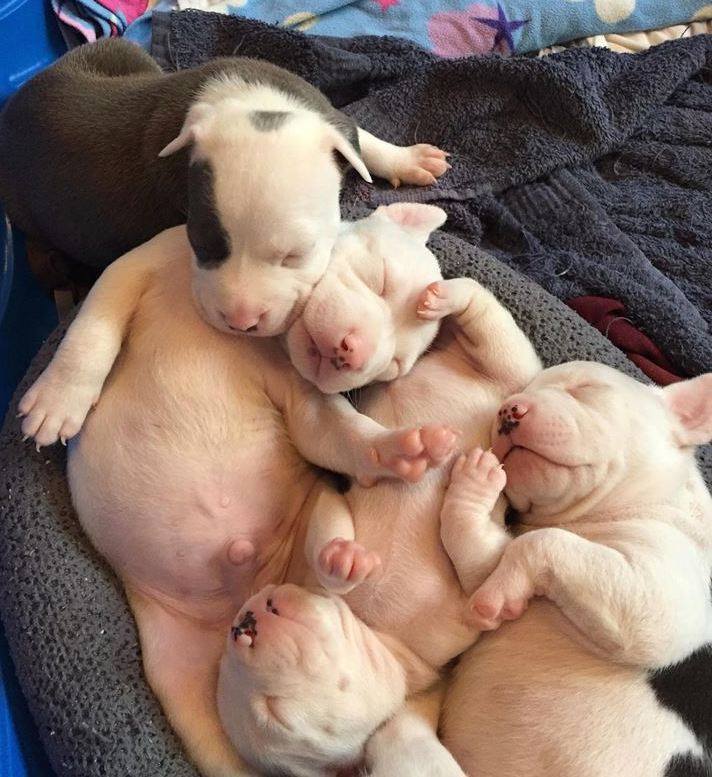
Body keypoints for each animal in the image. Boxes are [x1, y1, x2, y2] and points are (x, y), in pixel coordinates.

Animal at [0, 38, 448, 335]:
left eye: (295, 256)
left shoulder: (320, 107)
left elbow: (357, 133)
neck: (252, 104)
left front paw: (408, 159)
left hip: (120, 48)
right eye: (198, 244)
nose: (241, 321)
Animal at [18, 203, 461, 777]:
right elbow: (93, 326)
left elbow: (334, 432)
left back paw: (342, 560)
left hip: (310, 520)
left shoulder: (303, 398)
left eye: (392, 369)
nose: (354, 355)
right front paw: (58, 401)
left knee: (325, 563)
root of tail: (240, 599)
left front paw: (399, 450)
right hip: (179, 677)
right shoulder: (140, 264)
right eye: (380, 281)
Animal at [216, 276, 542, 776]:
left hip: (504, 374)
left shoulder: (330, 498)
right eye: (273, 714)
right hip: (507, 371)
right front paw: (476, 482)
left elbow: (327, 523)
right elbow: (480, 564)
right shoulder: (467, 615)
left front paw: (341, 562)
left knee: (489, 328)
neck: (376, 632)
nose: (243, 623)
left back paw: (442, 297)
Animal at [441, 362, 712, 777]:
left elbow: (543, 542)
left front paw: (498, 594)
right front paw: (474, 482)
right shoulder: (492, 563)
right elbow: (481, 552)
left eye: (585, 389)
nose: (507, 410)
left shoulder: (666, 604)